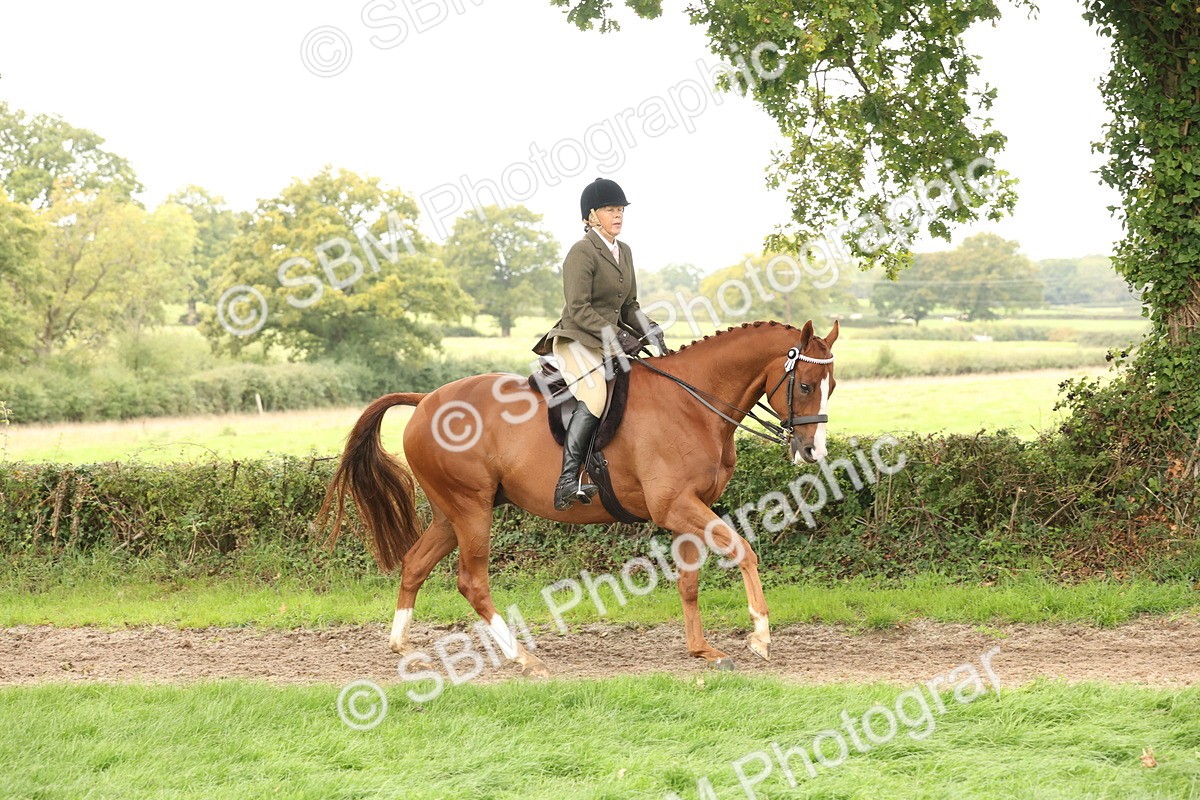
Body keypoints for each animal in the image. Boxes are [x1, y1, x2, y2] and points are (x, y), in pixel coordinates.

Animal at [319, 319, 839, 676]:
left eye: (831, 385)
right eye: (805, 385)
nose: (813, 450)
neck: (693, 403)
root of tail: (426, 399)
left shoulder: (688, 510)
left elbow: (689, 581)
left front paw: (703, 650)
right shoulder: (676, 506)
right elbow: (744, 551)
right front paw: (760, 636)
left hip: (453, 513)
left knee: (414, 565)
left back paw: (401, 645)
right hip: (471, 511)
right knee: (472, 582)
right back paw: (524, 659)